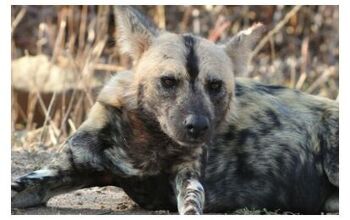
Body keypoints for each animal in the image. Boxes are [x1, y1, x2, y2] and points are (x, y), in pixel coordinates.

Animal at [12, 6, 338, 214]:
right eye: (168, 81)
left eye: (215, 85)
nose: (198, 126)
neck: (147, 144)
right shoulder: (62, 172)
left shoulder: (188, 180)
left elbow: (191, 207)